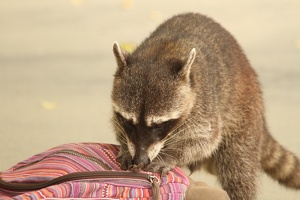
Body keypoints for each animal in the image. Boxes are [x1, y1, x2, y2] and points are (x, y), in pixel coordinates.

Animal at [110, 12, 300, 200]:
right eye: (128, 121)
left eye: (160, 124)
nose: (140, 160)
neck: (161, 53)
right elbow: (118, 126)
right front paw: (126, 146)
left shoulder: (204, 102)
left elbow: (204, 139)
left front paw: (169, 156)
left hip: (243, 113)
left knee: (239, 170)